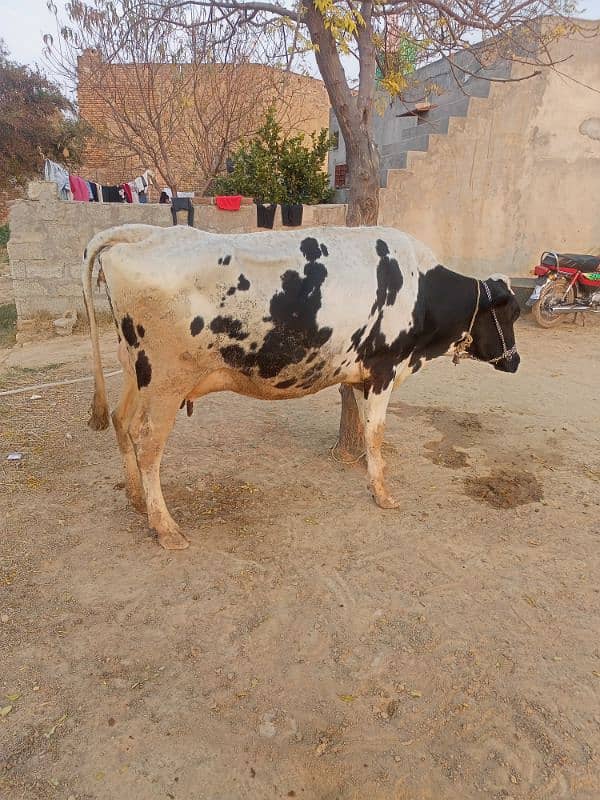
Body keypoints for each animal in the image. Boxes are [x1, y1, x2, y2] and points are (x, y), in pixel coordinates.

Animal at [81, 223, 520, 552]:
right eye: (511, 313)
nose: (514, 361)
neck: (421, 290)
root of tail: (147, 233)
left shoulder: (359, 374)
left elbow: (363, 428)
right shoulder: (385, 368)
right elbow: (377, 433)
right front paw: (383, 494)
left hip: (135, 370)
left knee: (121, 421)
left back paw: (136, 500)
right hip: (166, 381)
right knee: (147, 443)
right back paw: (165, 528)